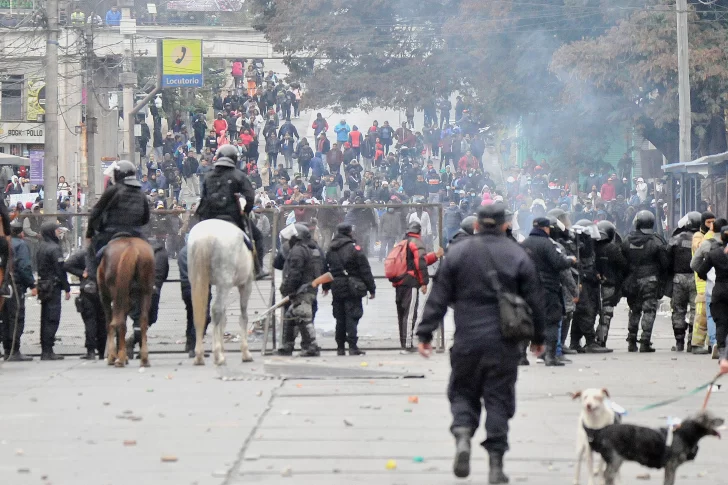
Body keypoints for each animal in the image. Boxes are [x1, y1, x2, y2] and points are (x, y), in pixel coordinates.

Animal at [96, 236, 155, 364]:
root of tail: (131, 247)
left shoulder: (104, 297)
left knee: (120, 321)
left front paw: (112, 355)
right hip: (146, 291)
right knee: (143, 319)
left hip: (115, 293)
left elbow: (109, 323)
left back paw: (120, 358)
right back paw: (144, 357)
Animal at [188, 218, 256, 364]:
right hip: (225, 283)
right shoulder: (246, 284)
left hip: (197, 280)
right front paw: (245, 353)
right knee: (216, 310)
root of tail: (206, 237)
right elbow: (243, 317)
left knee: (200, 313)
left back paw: (199, 355)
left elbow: (223, 319)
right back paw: (217, 355)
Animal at [592, 408, 724, 484]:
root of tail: (601, 432)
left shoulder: (670, 466)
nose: (723, 419)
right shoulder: (671, 465)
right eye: (713, 419)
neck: (685, 434)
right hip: (616, 459)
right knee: (608, 475)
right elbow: (669, 481)